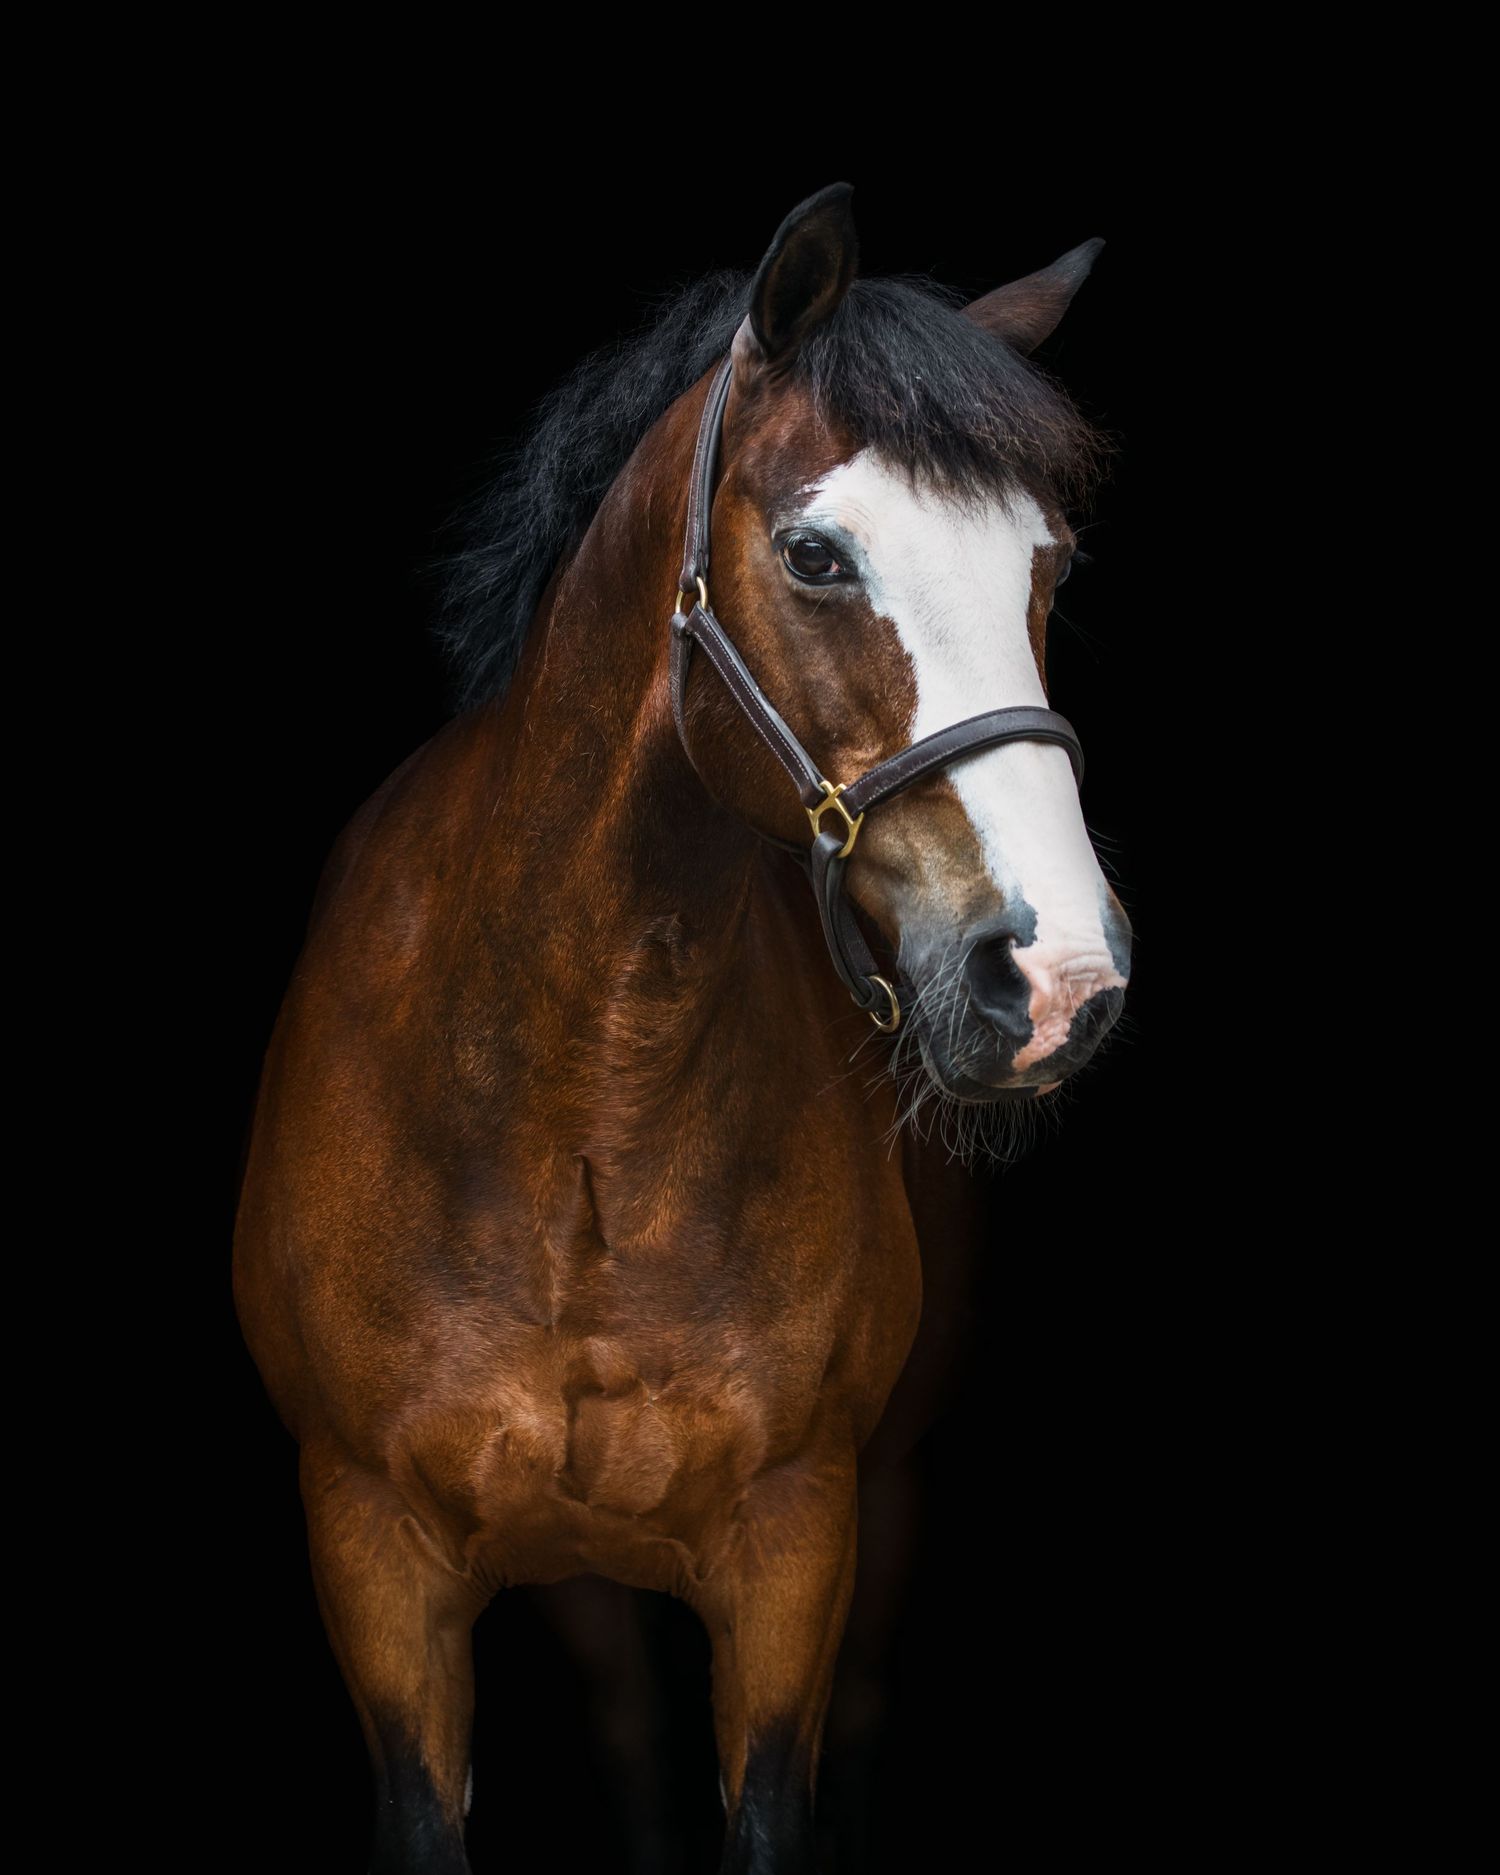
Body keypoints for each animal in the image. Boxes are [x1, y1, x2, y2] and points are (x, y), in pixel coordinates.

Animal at [232, 179, 1132, 1874]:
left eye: (1044, 566)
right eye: (817, 553)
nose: (1054, 975)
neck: (585, 1098)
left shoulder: (799, 1535)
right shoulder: (374, 1551)